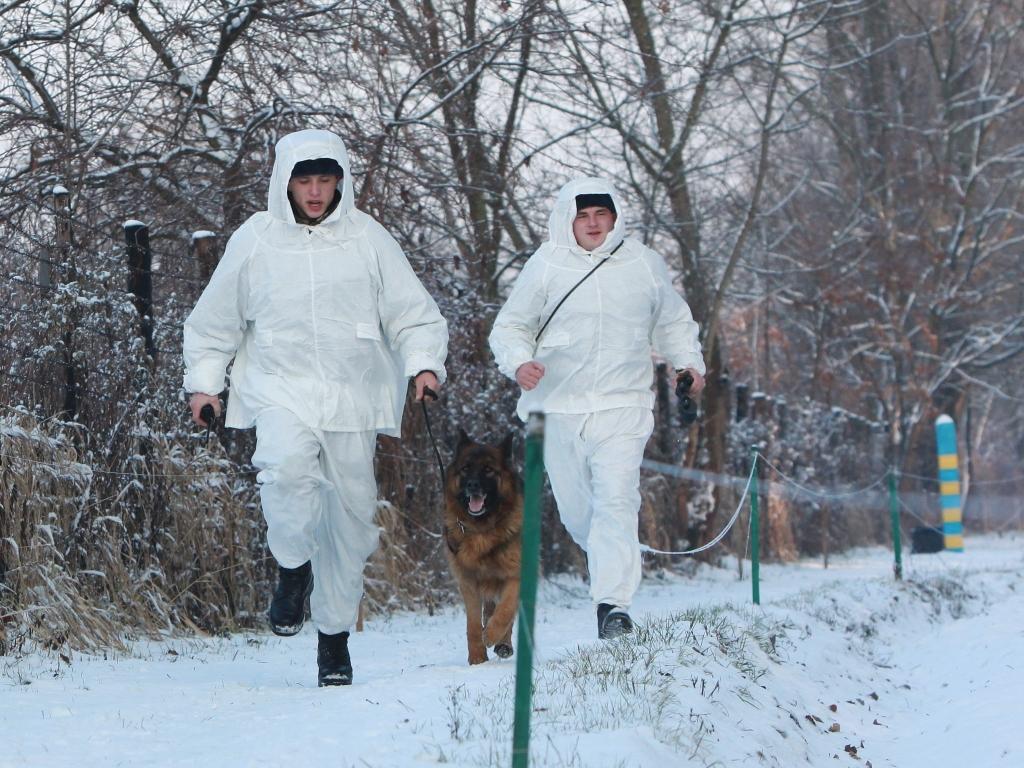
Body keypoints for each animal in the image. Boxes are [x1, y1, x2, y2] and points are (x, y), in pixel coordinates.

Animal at [442, 430, 520, 663]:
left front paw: (493, 635)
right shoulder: (468, 582)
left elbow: (506, 610)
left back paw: (503, 643)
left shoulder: (515, 575)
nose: (472, 485)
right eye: (466, 468)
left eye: (488, 470)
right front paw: (477, 659)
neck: (482, 530)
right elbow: (474, 624)